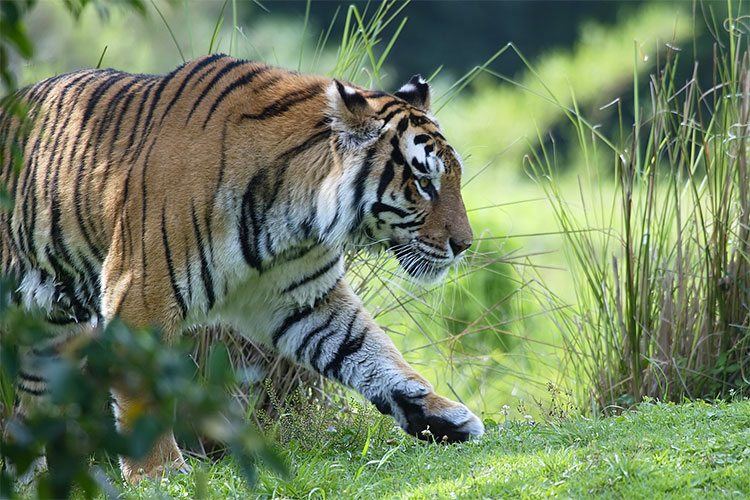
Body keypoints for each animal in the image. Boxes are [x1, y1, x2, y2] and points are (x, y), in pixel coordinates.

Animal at [0, 54, 484, 484]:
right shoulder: (137, 294)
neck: (296, 217)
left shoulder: (304, 298)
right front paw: (160, 473)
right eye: (424, 183)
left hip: (50, 335)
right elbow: (144, 394)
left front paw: (441, 416)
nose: (464, 244)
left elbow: (370, 351)